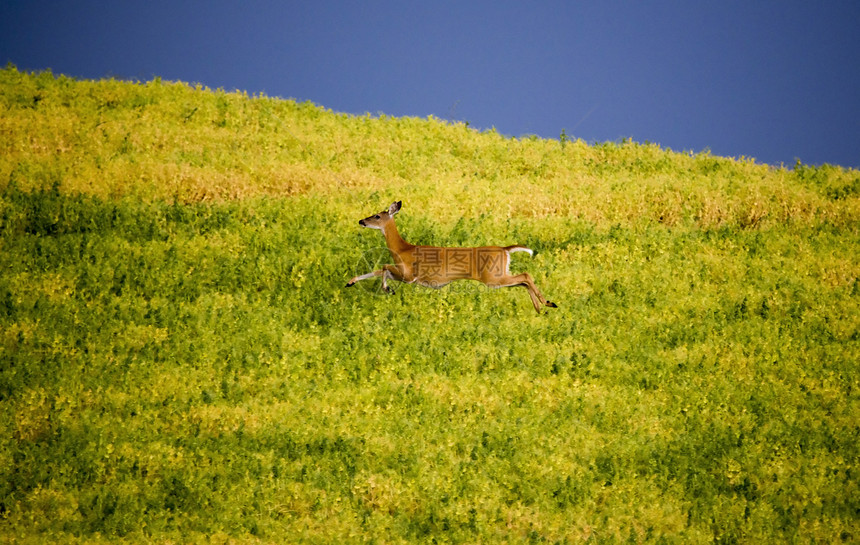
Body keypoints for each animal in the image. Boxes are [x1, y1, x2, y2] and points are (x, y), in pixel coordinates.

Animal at [346, 201, 560, 312]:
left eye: (377, 216)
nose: (361, 221)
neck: (403, 248)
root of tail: (505, 249)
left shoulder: (409, 275)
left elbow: (383, 267)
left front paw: (387, 289)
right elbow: (378, 270)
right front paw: (350, 282)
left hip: (492, 277)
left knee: (525, 276)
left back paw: (548, 303)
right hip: (499, 275)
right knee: (523, 280)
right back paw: (541, 307)